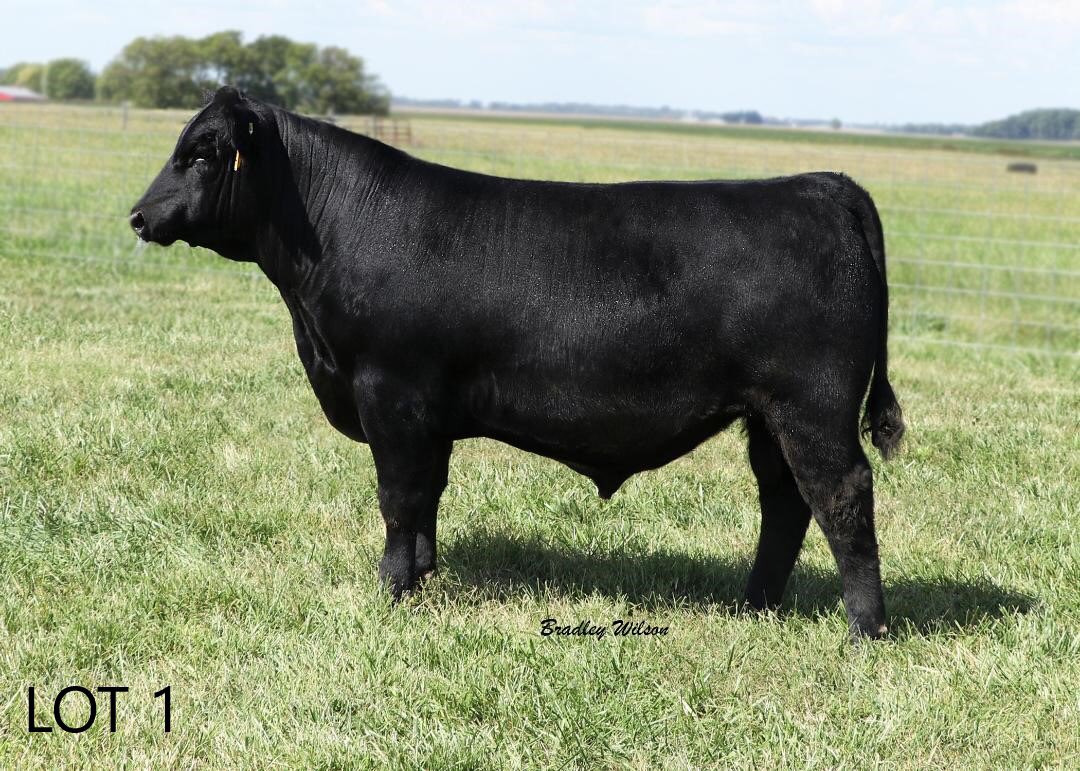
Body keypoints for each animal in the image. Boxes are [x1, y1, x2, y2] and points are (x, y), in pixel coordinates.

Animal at [130, 87, 904, 638]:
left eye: (201, 153)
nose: (139, 215)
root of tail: (823, 184)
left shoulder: (390, 393)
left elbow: (398, 497)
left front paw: (391, 593)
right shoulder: (427, 414)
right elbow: (427, 496)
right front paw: (424, 577)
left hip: (811, 405)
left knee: (840, 494)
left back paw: (865, 630)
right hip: (768, 415)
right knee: (785, 501)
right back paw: (754, 607)